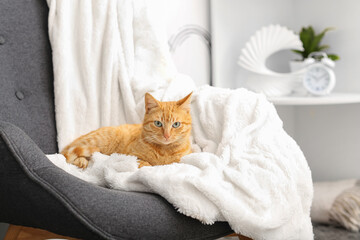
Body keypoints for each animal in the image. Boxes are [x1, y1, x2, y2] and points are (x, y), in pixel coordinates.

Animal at [60, 92, 193, 169]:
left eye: (176, 124)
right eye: (158, 123)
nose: (166, 135)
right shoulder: (131, 156)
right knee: (65, 154)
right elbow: (146, 164)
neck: (164, 151)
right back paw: (81, 161)